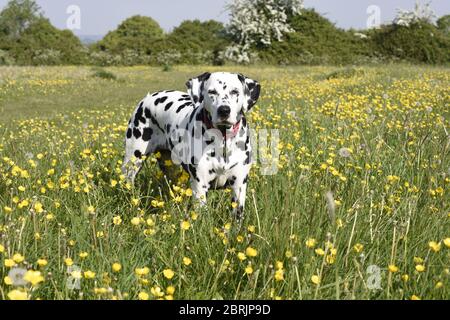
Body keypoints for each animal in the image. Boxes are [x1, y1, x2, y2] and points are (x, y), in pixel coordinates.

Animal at [122, 71, 260, 219]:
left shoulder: (239, 186)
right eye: (212, 92)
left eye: (235, 91)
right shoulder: (200, 186)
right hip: (132, 162)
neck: (223, 141)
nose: (224, 110)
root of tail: (147, 98)